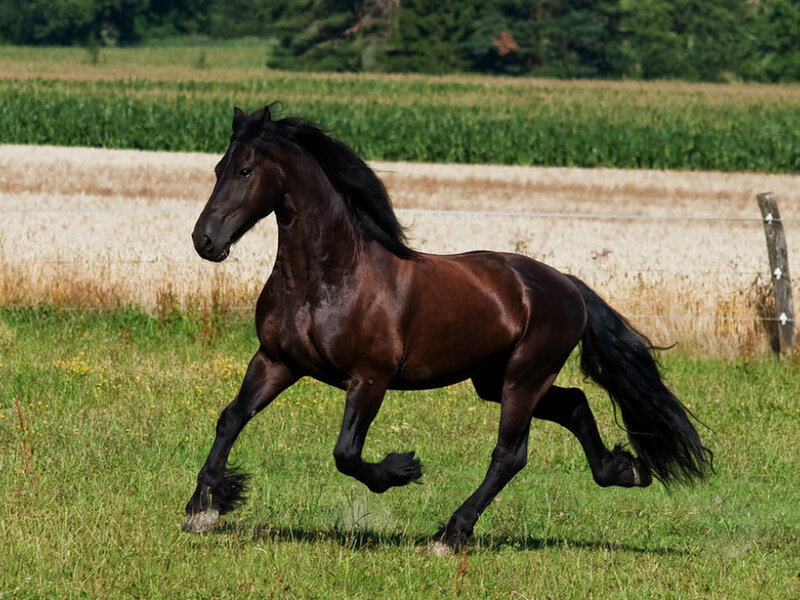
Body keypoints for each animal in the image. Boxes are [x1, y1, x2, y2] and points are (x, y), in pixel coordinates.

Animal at [182, 105, 712, 551]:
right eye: (217, 169)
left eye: (246, 171)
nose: (204, 241)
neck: (329, 279)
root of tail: (568, 286)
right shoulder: (277, 361)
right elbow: (231, 418)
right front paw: (203, 508)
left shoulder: (370, 378)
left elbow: (347, 453)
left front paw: (402, 469)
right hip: (494, 380)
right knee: (576, 404)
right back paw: (625, 470)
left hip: (524, 377)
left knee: (509, 455)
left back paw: (450, 534)